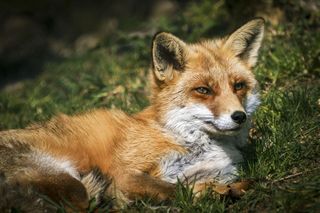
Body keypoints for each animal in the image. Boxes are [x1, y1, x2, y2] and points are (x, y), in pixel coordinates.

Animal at [0, 18, 264, 211]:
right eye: (203, 90)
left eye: (238, 86)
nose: (239, 116)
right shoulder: (125, 173)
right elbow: (177, 190)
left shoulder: (208, 172)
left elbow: (198, 185)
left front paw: (230, 189)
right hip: (65, 179)